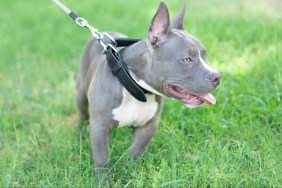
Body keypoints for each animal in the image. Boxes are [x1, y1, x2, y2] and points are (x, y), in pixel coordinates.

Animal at [76, 1, 220, 175]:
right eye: (186, 60)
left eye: (205, 55)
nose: (217, 77)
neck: (136, 88)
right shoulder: (99, 128)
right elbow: (102, 159)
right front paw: (103, 179)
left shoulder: (148, 127)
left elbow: (135, 152)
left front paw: (128, 172)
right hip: (81, 94)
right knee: (82, 114)